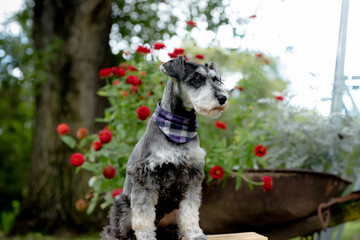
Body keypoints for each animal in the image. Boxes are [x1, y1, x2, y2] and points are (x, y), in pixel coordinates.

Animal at [101, 56, 229, 240]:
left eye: (216, 79)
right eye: (196, 79)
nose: (222, 97)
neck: (179, 127)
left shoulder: (193, 174)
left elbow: (190, 210)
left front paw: (194, 233)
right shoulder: (146, 174)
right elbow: (143, 214)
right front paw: (146, 237)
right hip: (123, 205)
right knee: (114, 230)